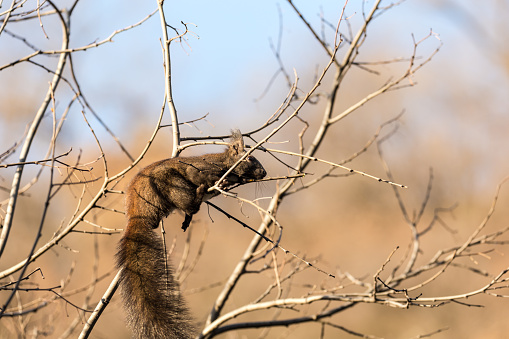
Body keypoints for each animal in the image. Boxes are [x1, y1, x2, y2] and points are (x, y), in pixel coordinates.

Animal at [115, 129, 266, 338]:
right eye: (250, 158)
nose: (265, 173)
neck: (227, 165)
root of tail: (137, 215)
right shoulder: (202, 169)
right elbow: (199, 175)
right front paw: (220, 183)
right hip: (173, 184)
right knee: (189, 201)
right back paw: (198, 196)